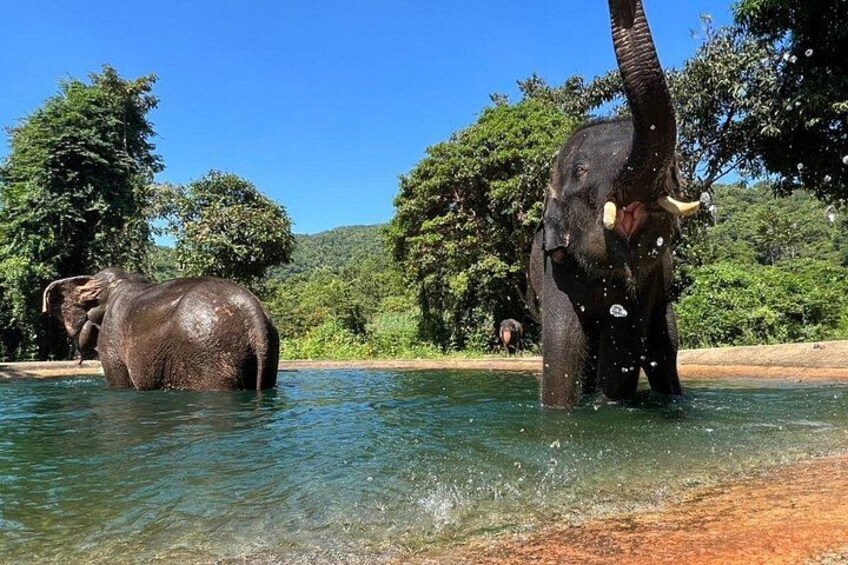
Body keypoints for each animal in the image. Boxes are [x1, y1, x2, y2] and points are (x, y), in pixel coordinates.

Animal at [529, 0, 701, 409]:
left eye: (675, 170)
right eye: (580, 170)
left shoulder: (648, 280)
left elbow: (622, 343)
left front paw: (609, 406)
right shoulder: (554, 263)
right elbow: (563, 346)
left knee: (664, 347)